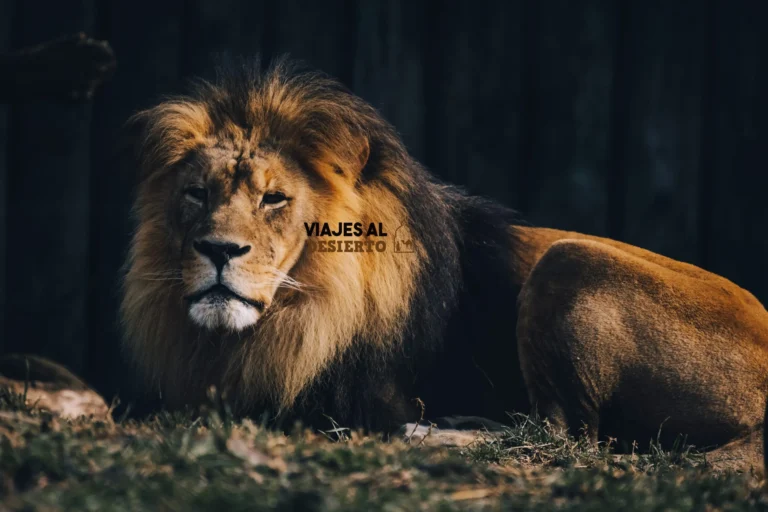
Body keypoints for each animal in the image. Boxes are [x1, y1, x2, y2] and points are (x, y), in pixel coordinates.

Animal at [122, 58, 768, 452]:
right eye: (197, 194)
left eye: (274, 198)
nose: (218, 249)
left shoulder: (345, 398)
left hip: (571, 258)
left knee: (561, 436)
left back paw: (431, 433)